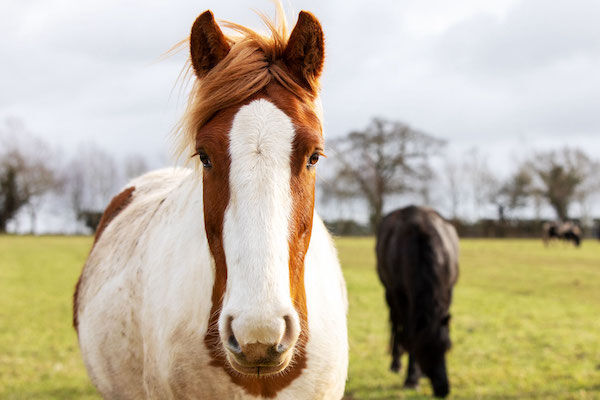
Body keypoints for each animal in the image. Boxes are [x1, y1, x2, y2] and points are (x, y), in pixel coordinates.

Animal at [376, 205, 460, 398]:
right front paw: (411, 378)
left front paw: (417, 375)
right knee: (395, 325)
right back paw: (396, 362)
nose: (443, 390)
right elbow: (406, 332)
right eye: (423, 350)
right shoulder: (400, 297)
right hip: (389, 295)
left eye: (447, 347)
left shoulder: (447, 293)